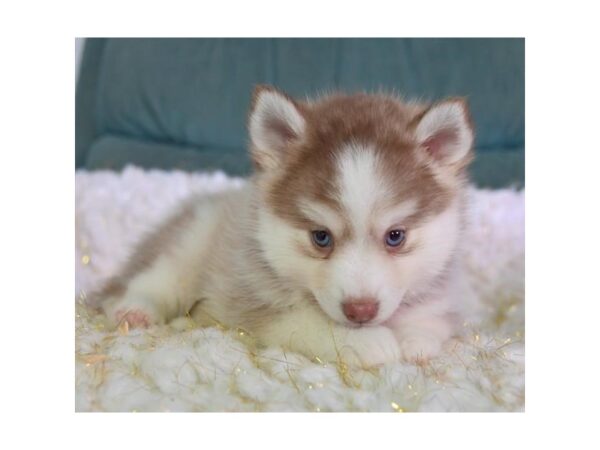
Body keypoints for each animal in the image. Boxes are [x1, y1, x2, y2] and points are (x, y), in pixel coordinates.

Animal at [94, 86, 476, 368]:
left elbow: (431, 323)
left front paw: (413, 338)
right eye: (321, 237)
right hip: (192, 239)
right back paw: (135, 310)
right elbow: (312, 323)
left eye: (395, 236)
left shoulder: (440, 293)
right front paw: (369, 342)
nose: (361, 311)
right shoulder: (257, 304)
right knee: (148, 281)